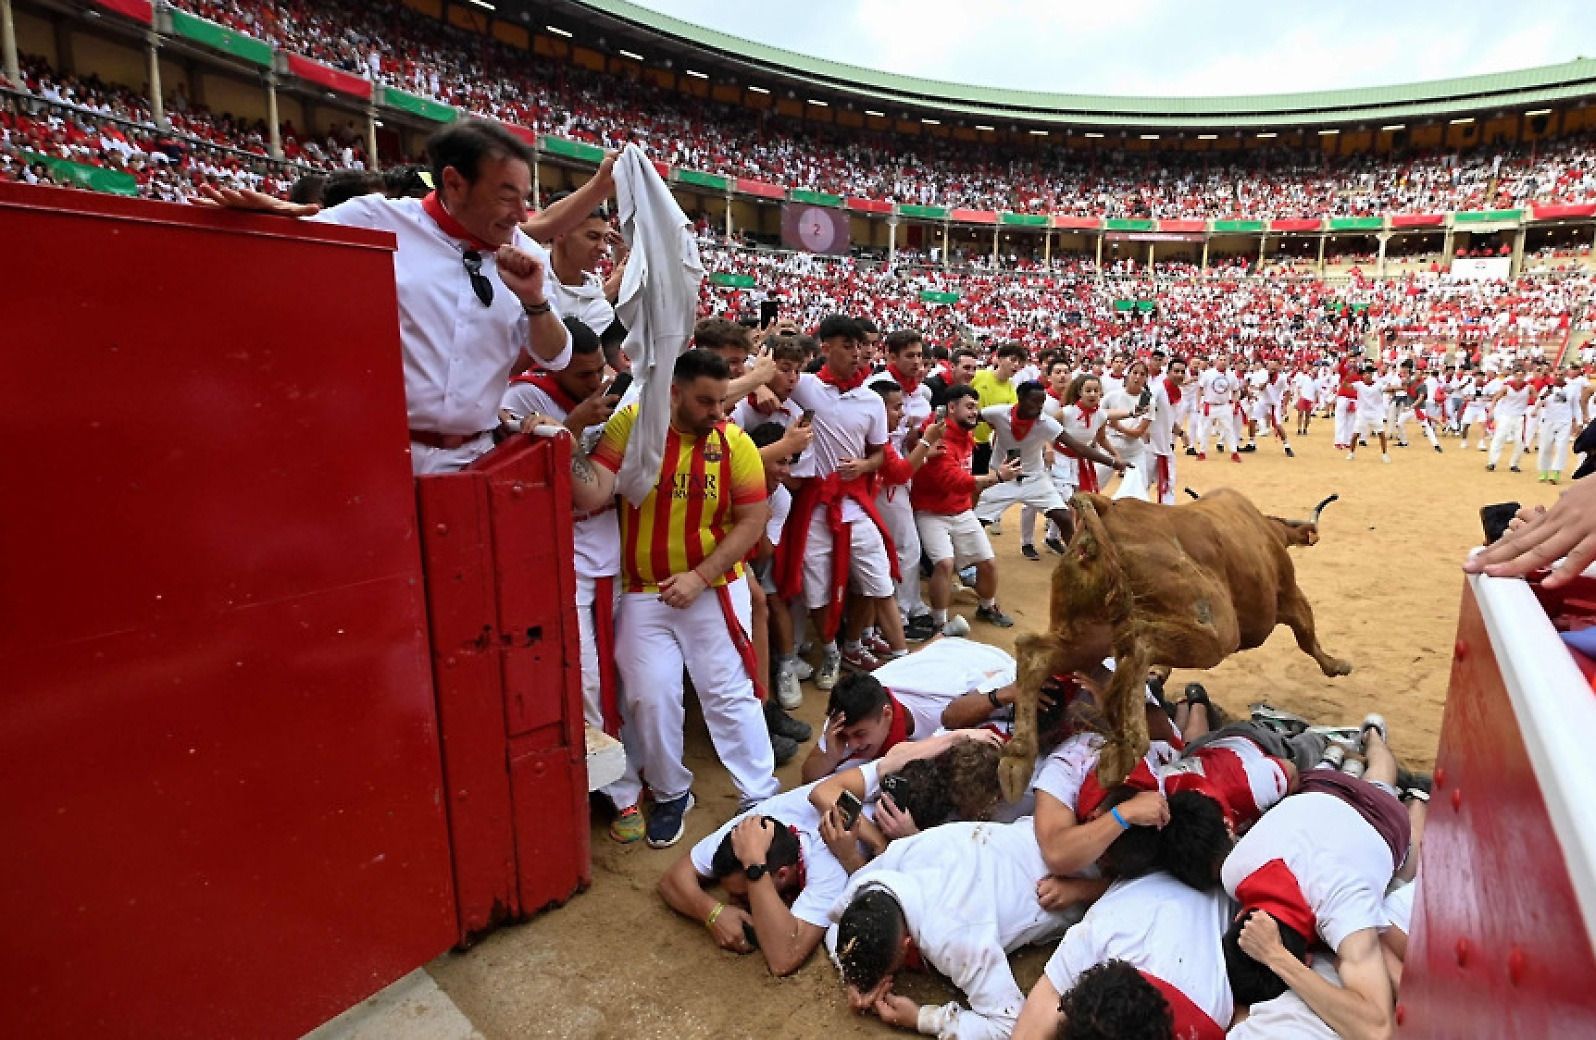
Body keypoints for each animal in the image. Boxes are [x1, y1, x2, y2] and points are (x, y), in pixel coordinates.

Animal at [1002, 491, 1353, 800]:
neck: (1266, 530)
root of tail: (1105, 508)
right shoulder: (1290, 595)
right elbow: (1307, 634)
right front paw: (1337, 665)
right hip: (1216, 632)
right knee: (1140, 644)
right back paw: (1123, 753)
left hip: (1090, 633)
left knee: (1036, 653)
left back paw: (1018, 761)